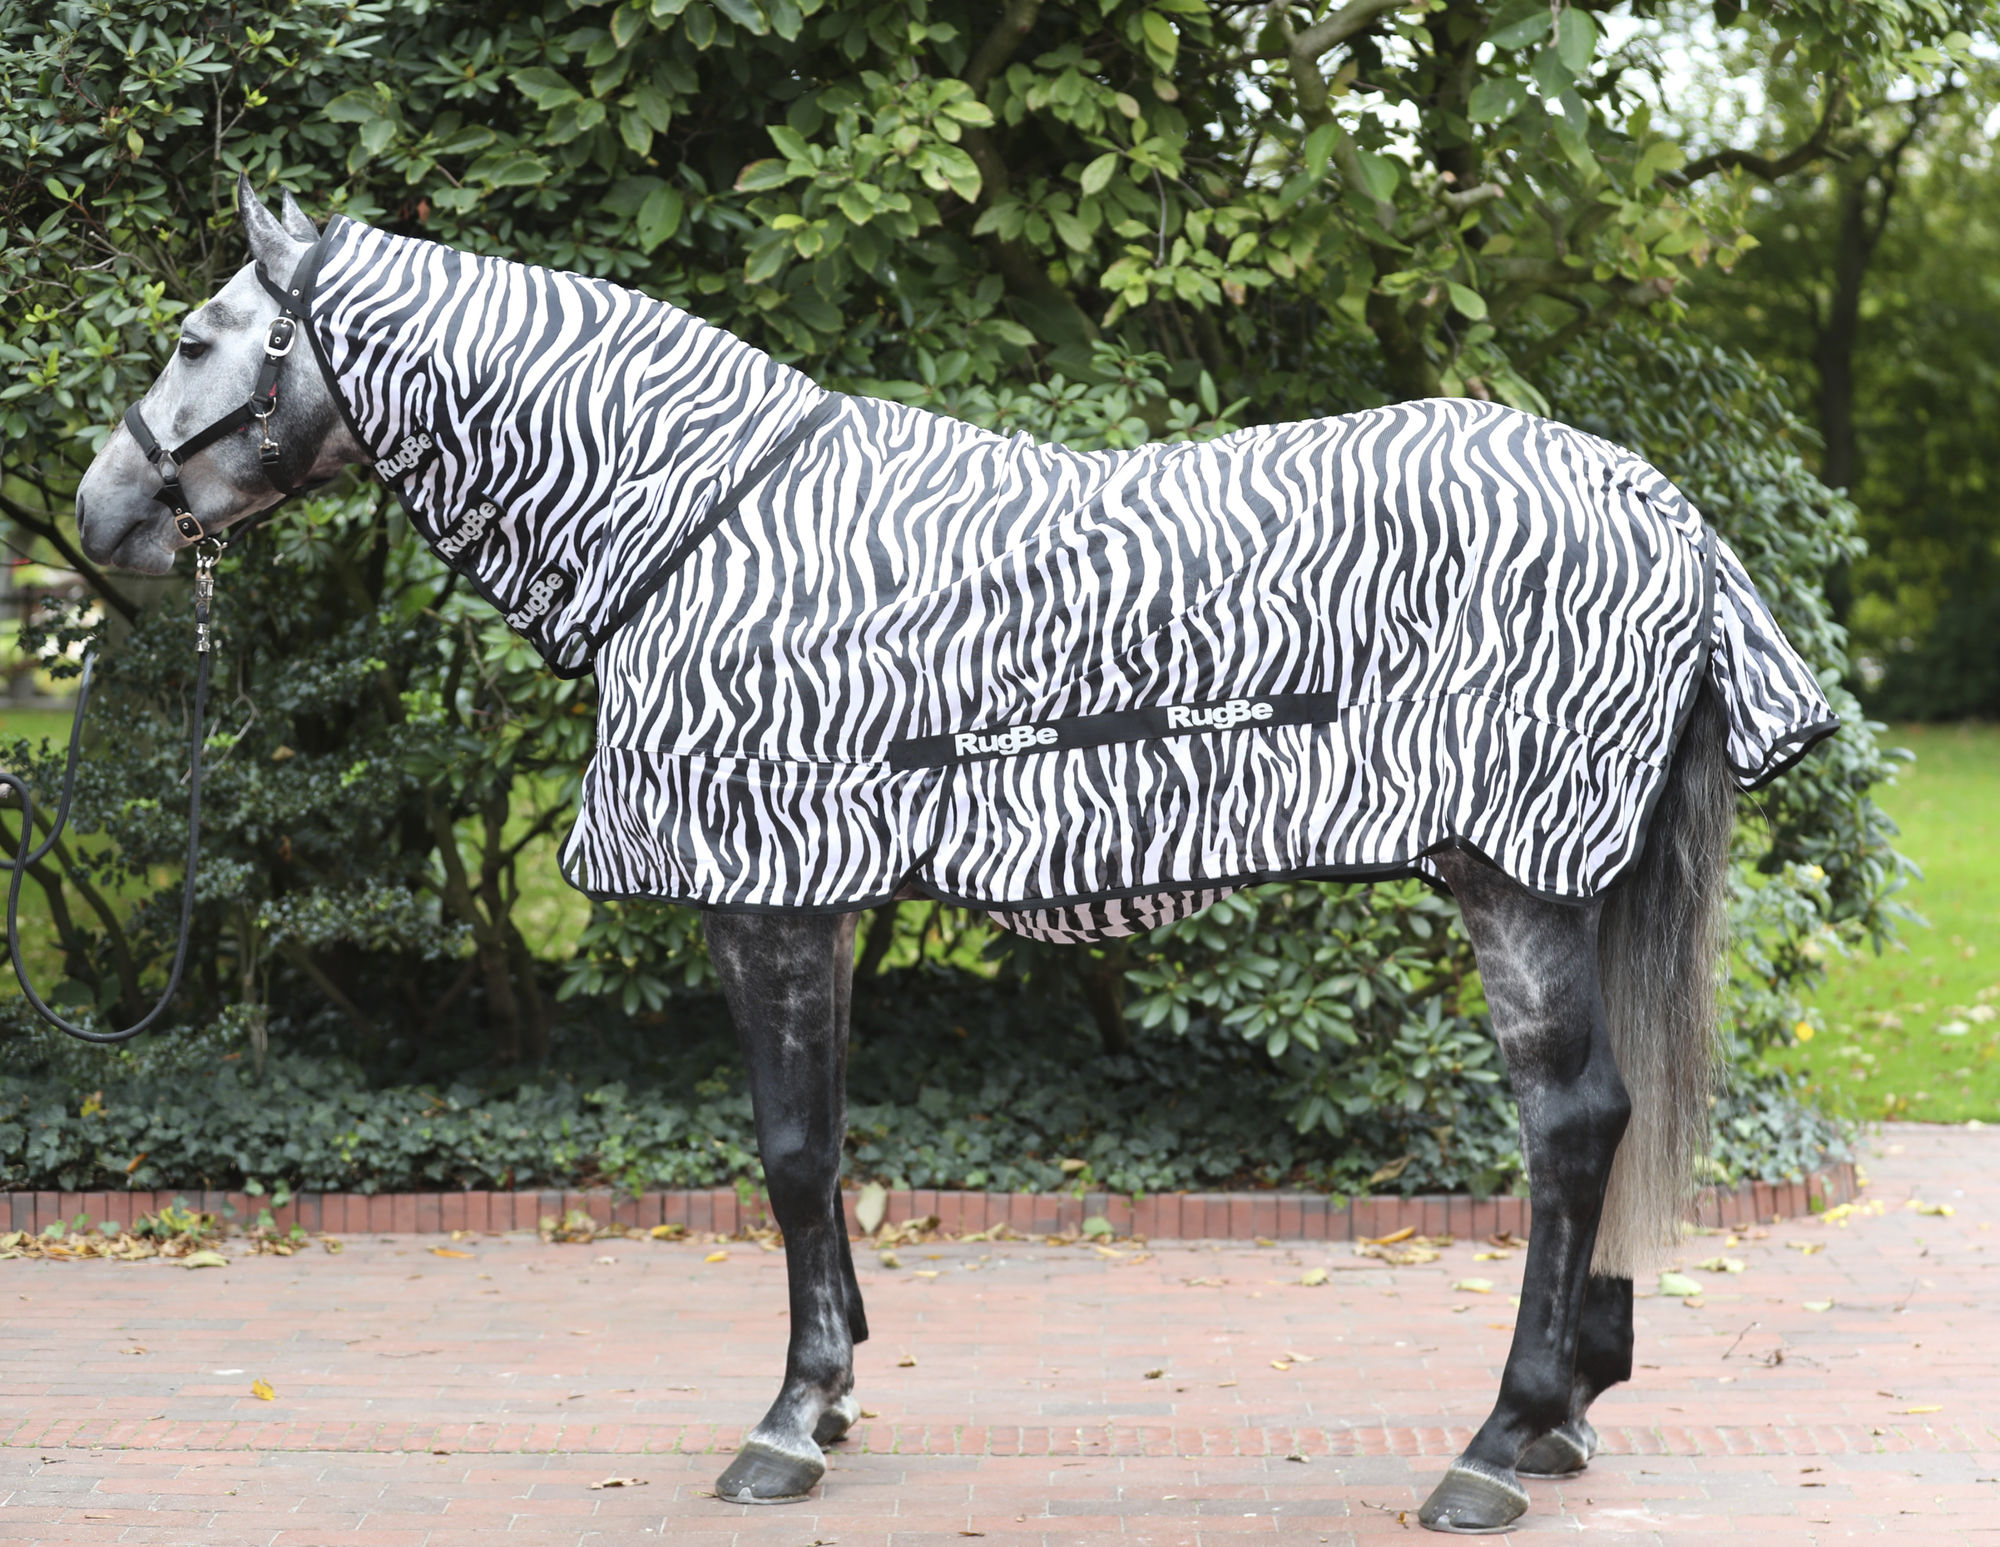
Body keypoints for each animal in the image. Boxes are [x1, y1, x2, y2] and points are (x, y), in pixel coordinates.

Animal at [74, 176, 1836, 1532]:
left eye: (195, 339)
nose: (98, 517)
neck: (696, 526)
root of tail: (1657, 504)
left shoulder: (764, 897)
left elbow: (789, 1151)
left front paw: (788, 1421)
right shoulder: (823, 899)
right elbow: (828, 1135)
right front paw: (839, 1383)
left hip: (1511, 877)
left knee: (1570, 1124)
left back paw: (1491, 1444)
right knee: (1595, 1125)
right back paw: (1561, 1414)